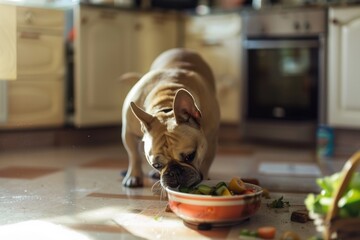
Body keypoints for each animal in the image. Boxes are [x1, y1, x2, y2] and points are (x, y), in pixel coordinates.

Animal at [122, 47, 221, 188]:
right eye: (156, 165)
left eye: (190, 156)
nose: (175, 172)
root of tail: (181, 49)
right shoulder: (128, 133)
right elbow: (134, 155)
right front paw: (134, 176)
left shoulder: (211, 141)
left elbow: (206, 162)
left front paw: (204, 179)